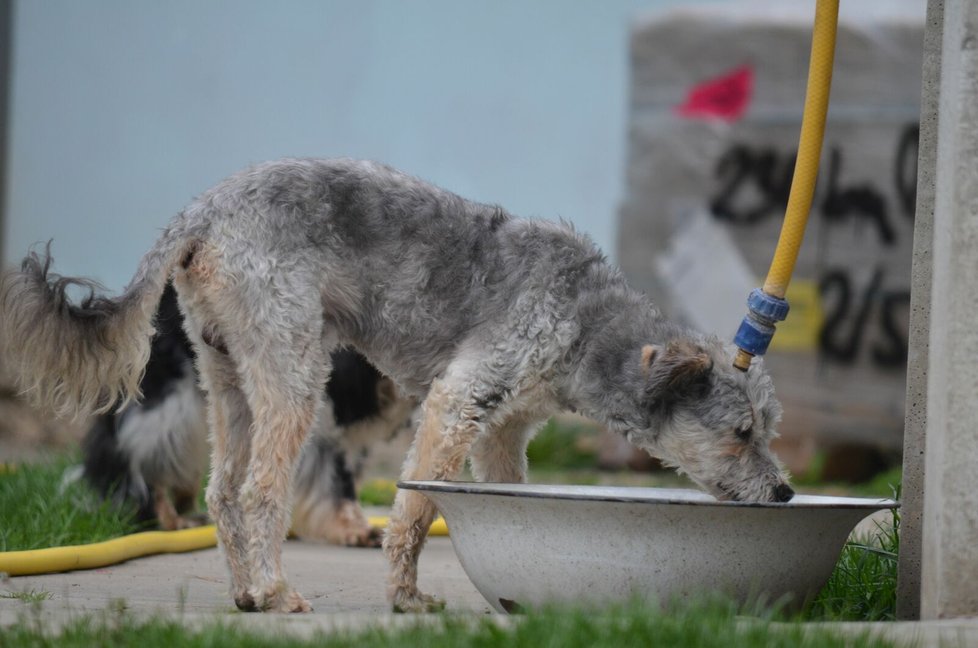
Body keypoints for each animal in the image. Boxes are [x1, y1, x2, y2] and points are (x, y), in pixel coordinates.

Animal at [0, 157, 788, 612]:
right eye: (741, 432)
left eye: (767, 430)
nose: (784, 493)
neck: (588, 321)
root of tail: (205, 210)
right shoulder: (456, 403)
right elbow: (411, 514)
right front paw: (405, 596)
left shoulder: (503, 433)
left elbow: (510, 501)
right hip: (294, 375)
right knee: (260, 492)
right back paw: (275, 590)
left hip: (227, 376)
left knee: (223, 491)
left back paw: (245, 592)